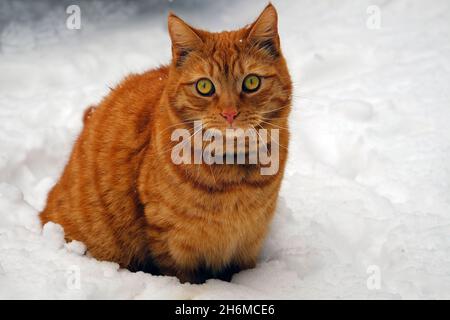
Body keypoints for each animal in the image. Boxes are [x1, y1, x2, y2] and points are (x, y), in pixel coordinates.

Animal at [40, 3, 294, 284]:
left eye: (251, 82)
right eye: (204, 86)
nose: (229, 113)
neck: (233, 177)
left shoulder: (250, 239)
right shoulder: (171, 241)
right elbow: (183, 276)